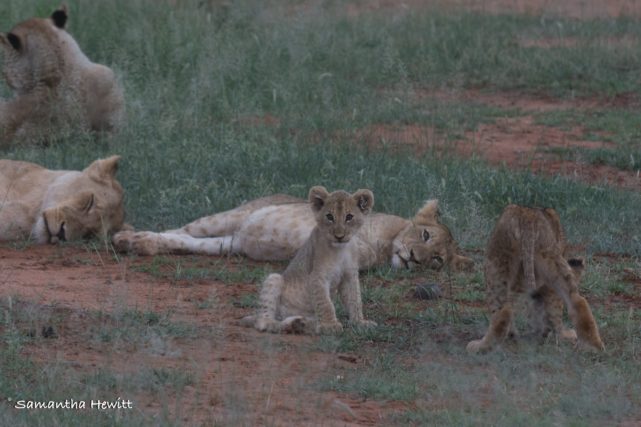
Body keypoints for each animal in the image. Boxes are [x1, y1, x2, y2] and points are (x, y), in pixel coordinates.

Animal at [241, 186, 377, 334]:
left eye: (349, 217)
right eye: (329, 217)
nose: (339, 236)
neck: (340, 250)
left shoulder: (349, 275)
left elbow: (355, 300)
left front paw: (360, 322)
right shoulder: (317, 276)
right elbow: (325, 303)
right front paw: (330, 325)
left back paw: (299, 324)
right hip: (274, 279)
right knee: (262, 321)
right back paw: (280, 324)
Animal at [467, 205, 604, 353]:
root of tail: (527, 216)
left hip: (495, 262)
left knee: (503, 310)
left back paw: (481, 346)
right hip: (549, 258)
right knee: (577, 300)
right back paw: (593, 346)